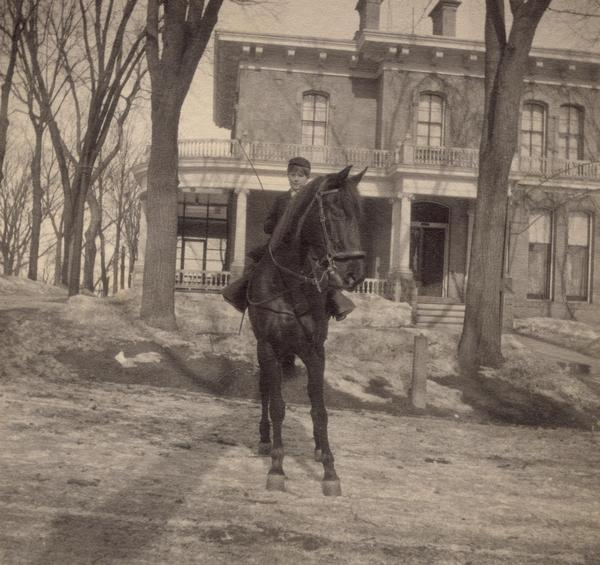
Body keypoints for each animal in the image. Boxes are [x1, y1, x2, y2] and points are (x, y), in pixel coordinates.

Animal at [247, 165, 366, 496]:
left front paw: (329, 470)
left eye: (360, 213)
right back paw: (264, 440)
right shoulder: (268, 348)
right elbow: (277, 405)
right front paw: (276, 468)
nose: (355, 274)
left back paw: (316, 448)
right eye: (335, 212)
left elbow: (319, 409)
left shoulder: (315, 351)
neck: (289, 284)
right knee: (264, 389)